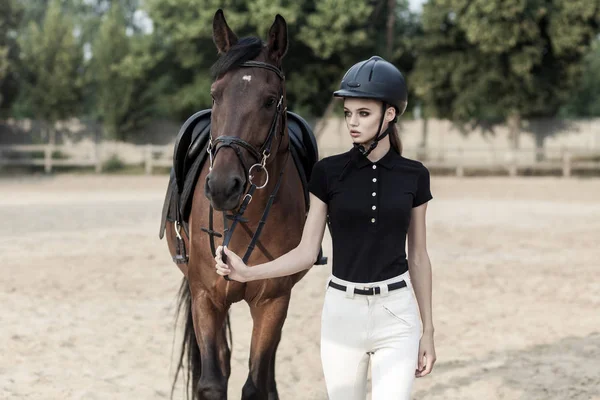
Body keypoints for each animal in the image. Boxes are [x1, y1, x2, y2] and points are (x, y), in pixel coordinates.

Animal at [157, 9, 322, 400]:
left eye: (270, 100)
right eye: (216, 95)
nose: (222, 187)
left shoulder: (273, 301)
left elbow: (256, 382)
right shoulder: (206, 298)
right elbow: (212, 381)